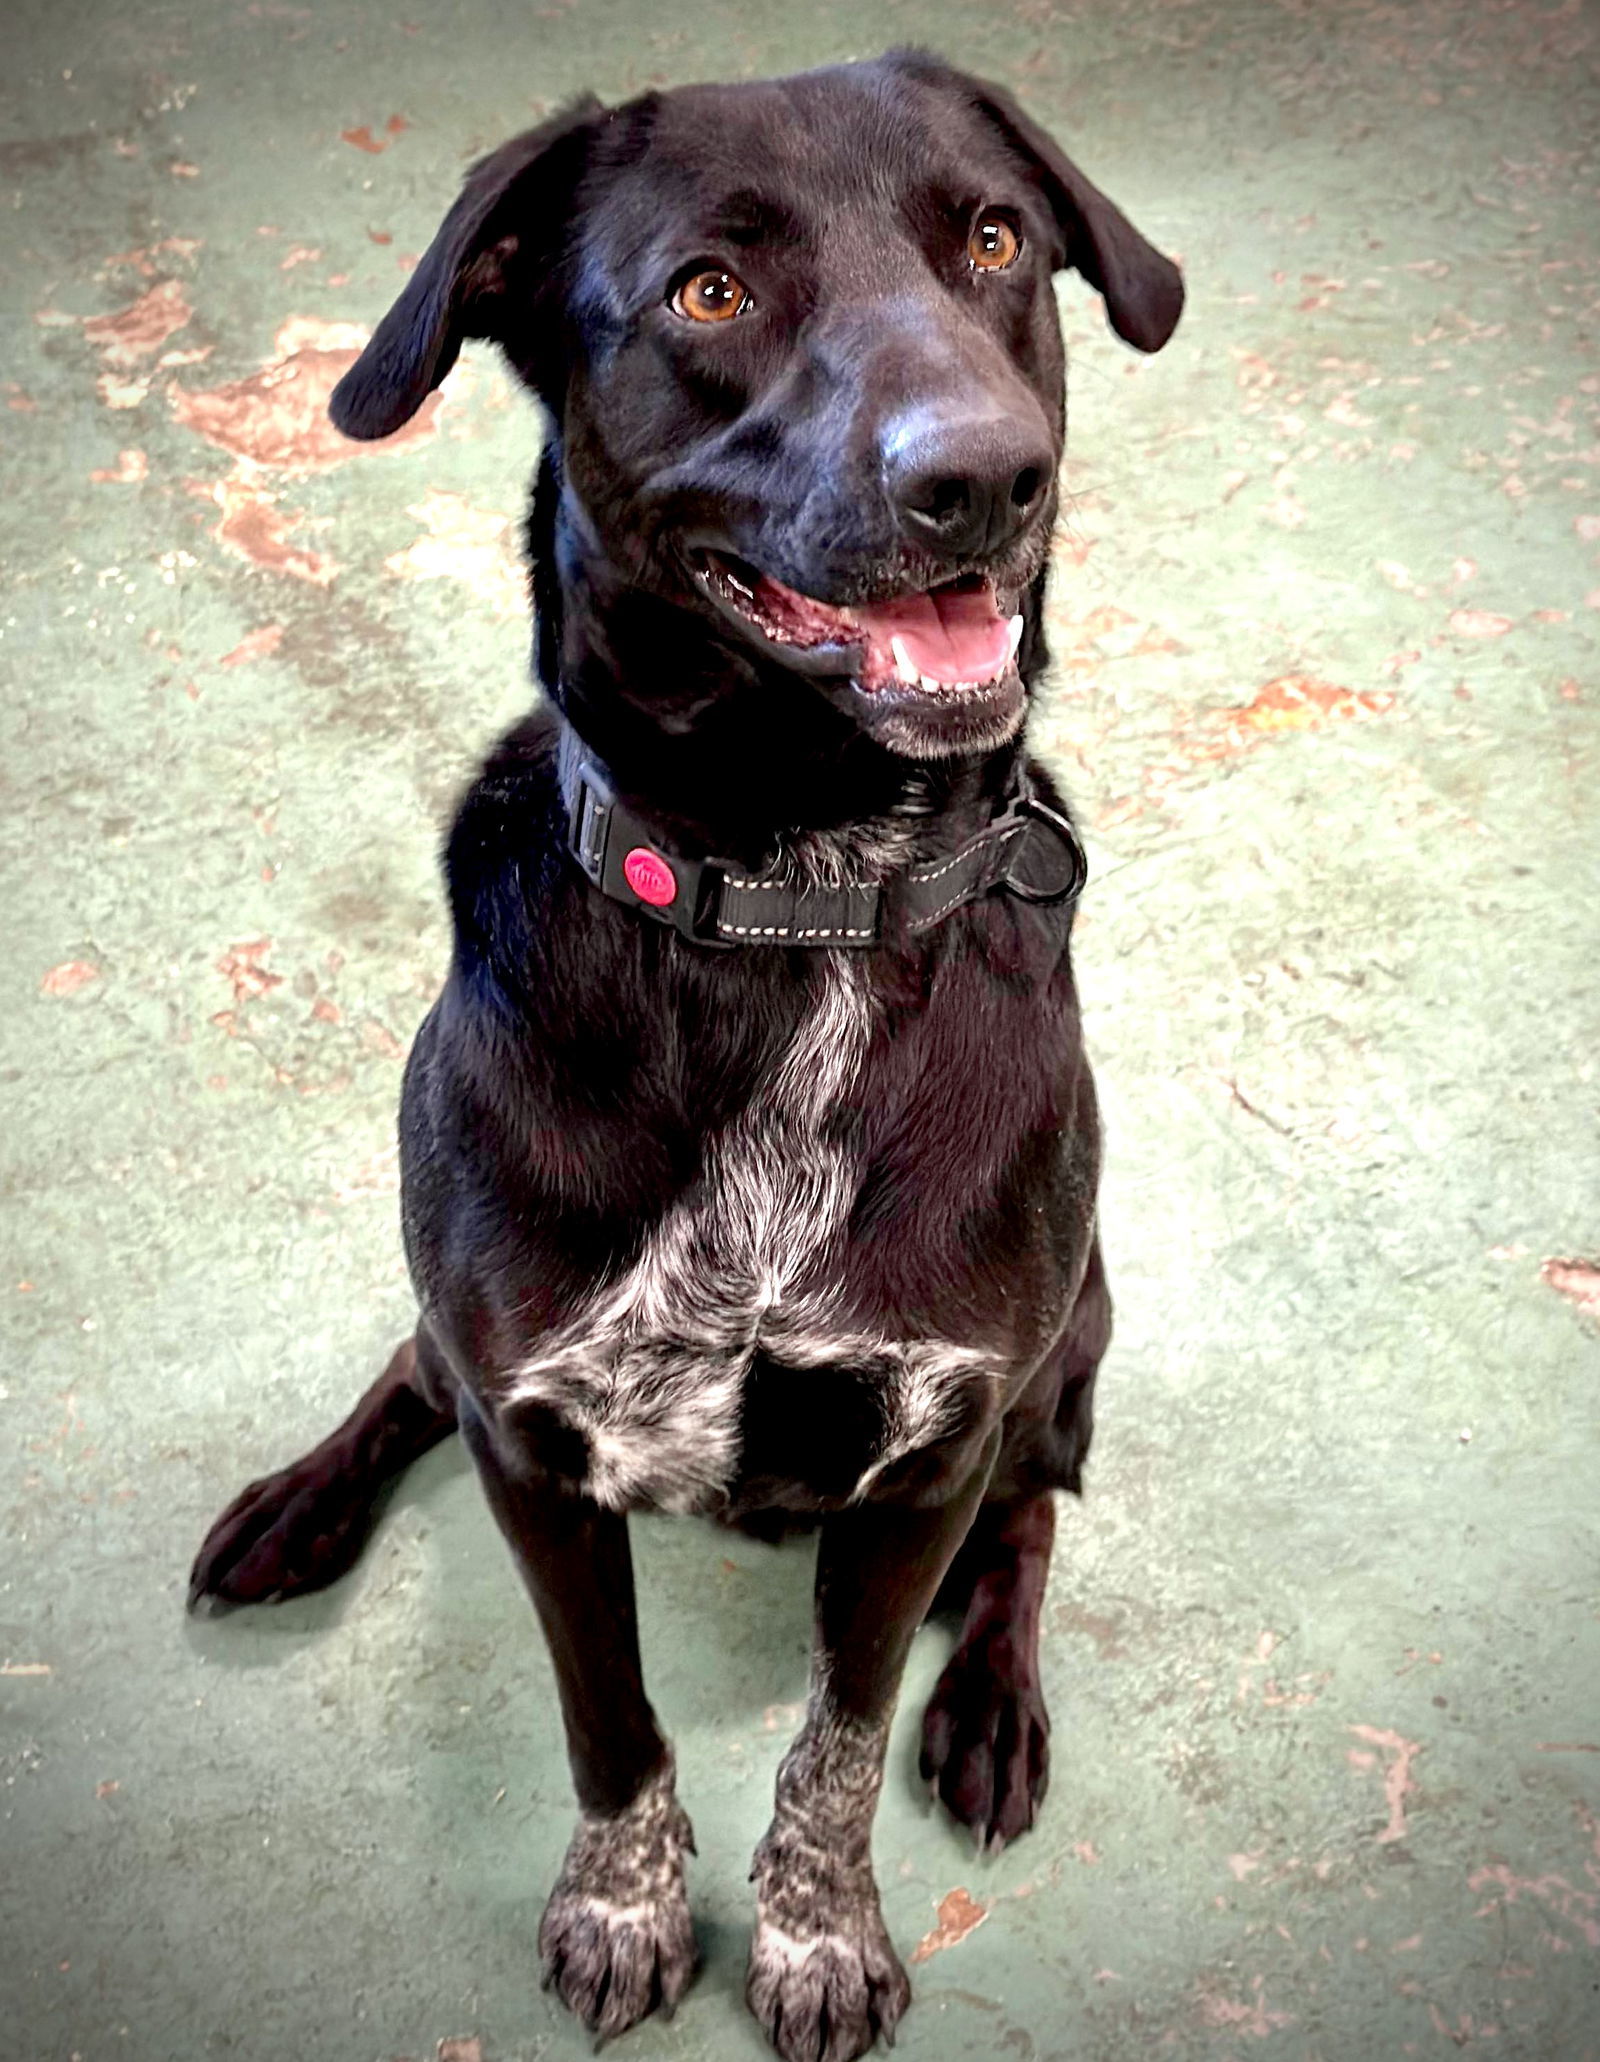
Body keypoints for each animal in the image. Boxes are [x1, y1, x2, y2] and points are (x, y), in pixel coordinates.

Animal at [193, 48, 1179, 2062]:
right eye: (708, 293)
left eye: (994, 240)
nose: (987, 475)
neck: (796, 897)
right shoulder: (537, 1442)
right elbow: (606, 1715)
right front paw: (626, 1901)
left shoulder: (929, 1447)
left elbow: (838, 1736)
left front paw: (816, 1932)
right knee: (408, 1366)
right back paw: (297, 1504)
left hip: (1077, 1338)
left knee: (1038, 1519)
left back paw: (996, 1704)